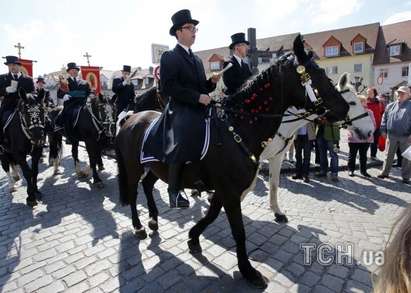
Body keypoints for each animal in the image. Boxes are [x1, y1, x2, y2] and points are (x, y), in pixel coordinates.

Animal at [114, 34, 350, 288]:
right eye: (316, 73)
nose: (345, 108)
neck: (238, 126)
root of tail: (131, 118)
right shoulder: (229, 190)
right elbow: (238, 231)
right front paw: (249, 271)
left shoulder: (227, 188)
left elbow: (212, 214)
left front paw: (193, 237)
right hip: (133, 167)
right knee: (133, 192)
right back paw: (139, 226)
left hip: (155, 168)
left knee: (147, 185)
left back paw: (154, 221)